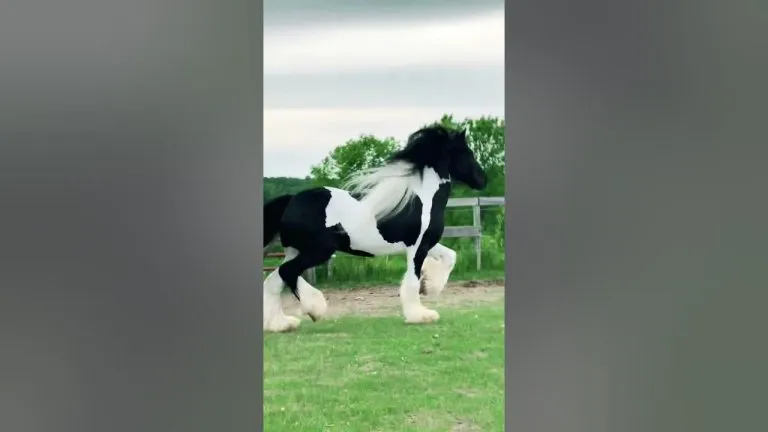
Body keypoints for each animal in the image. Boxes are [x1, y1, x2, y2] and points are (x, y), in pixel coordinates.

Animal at [262, 124, 487, 332]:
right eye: (468, 153)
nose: (482, 180)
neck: (422, 200)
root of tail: (291, 201)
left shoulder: (425, 243)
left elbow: (450, 256)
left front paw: (429, 286)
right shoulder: (418, 247)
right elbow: (412, 281)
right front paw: (421, 315)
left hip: (295, 250)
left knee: (274, 280)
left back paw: (281, 324)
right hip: (318, 251)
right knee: (287, 272)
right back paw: (314, 310)